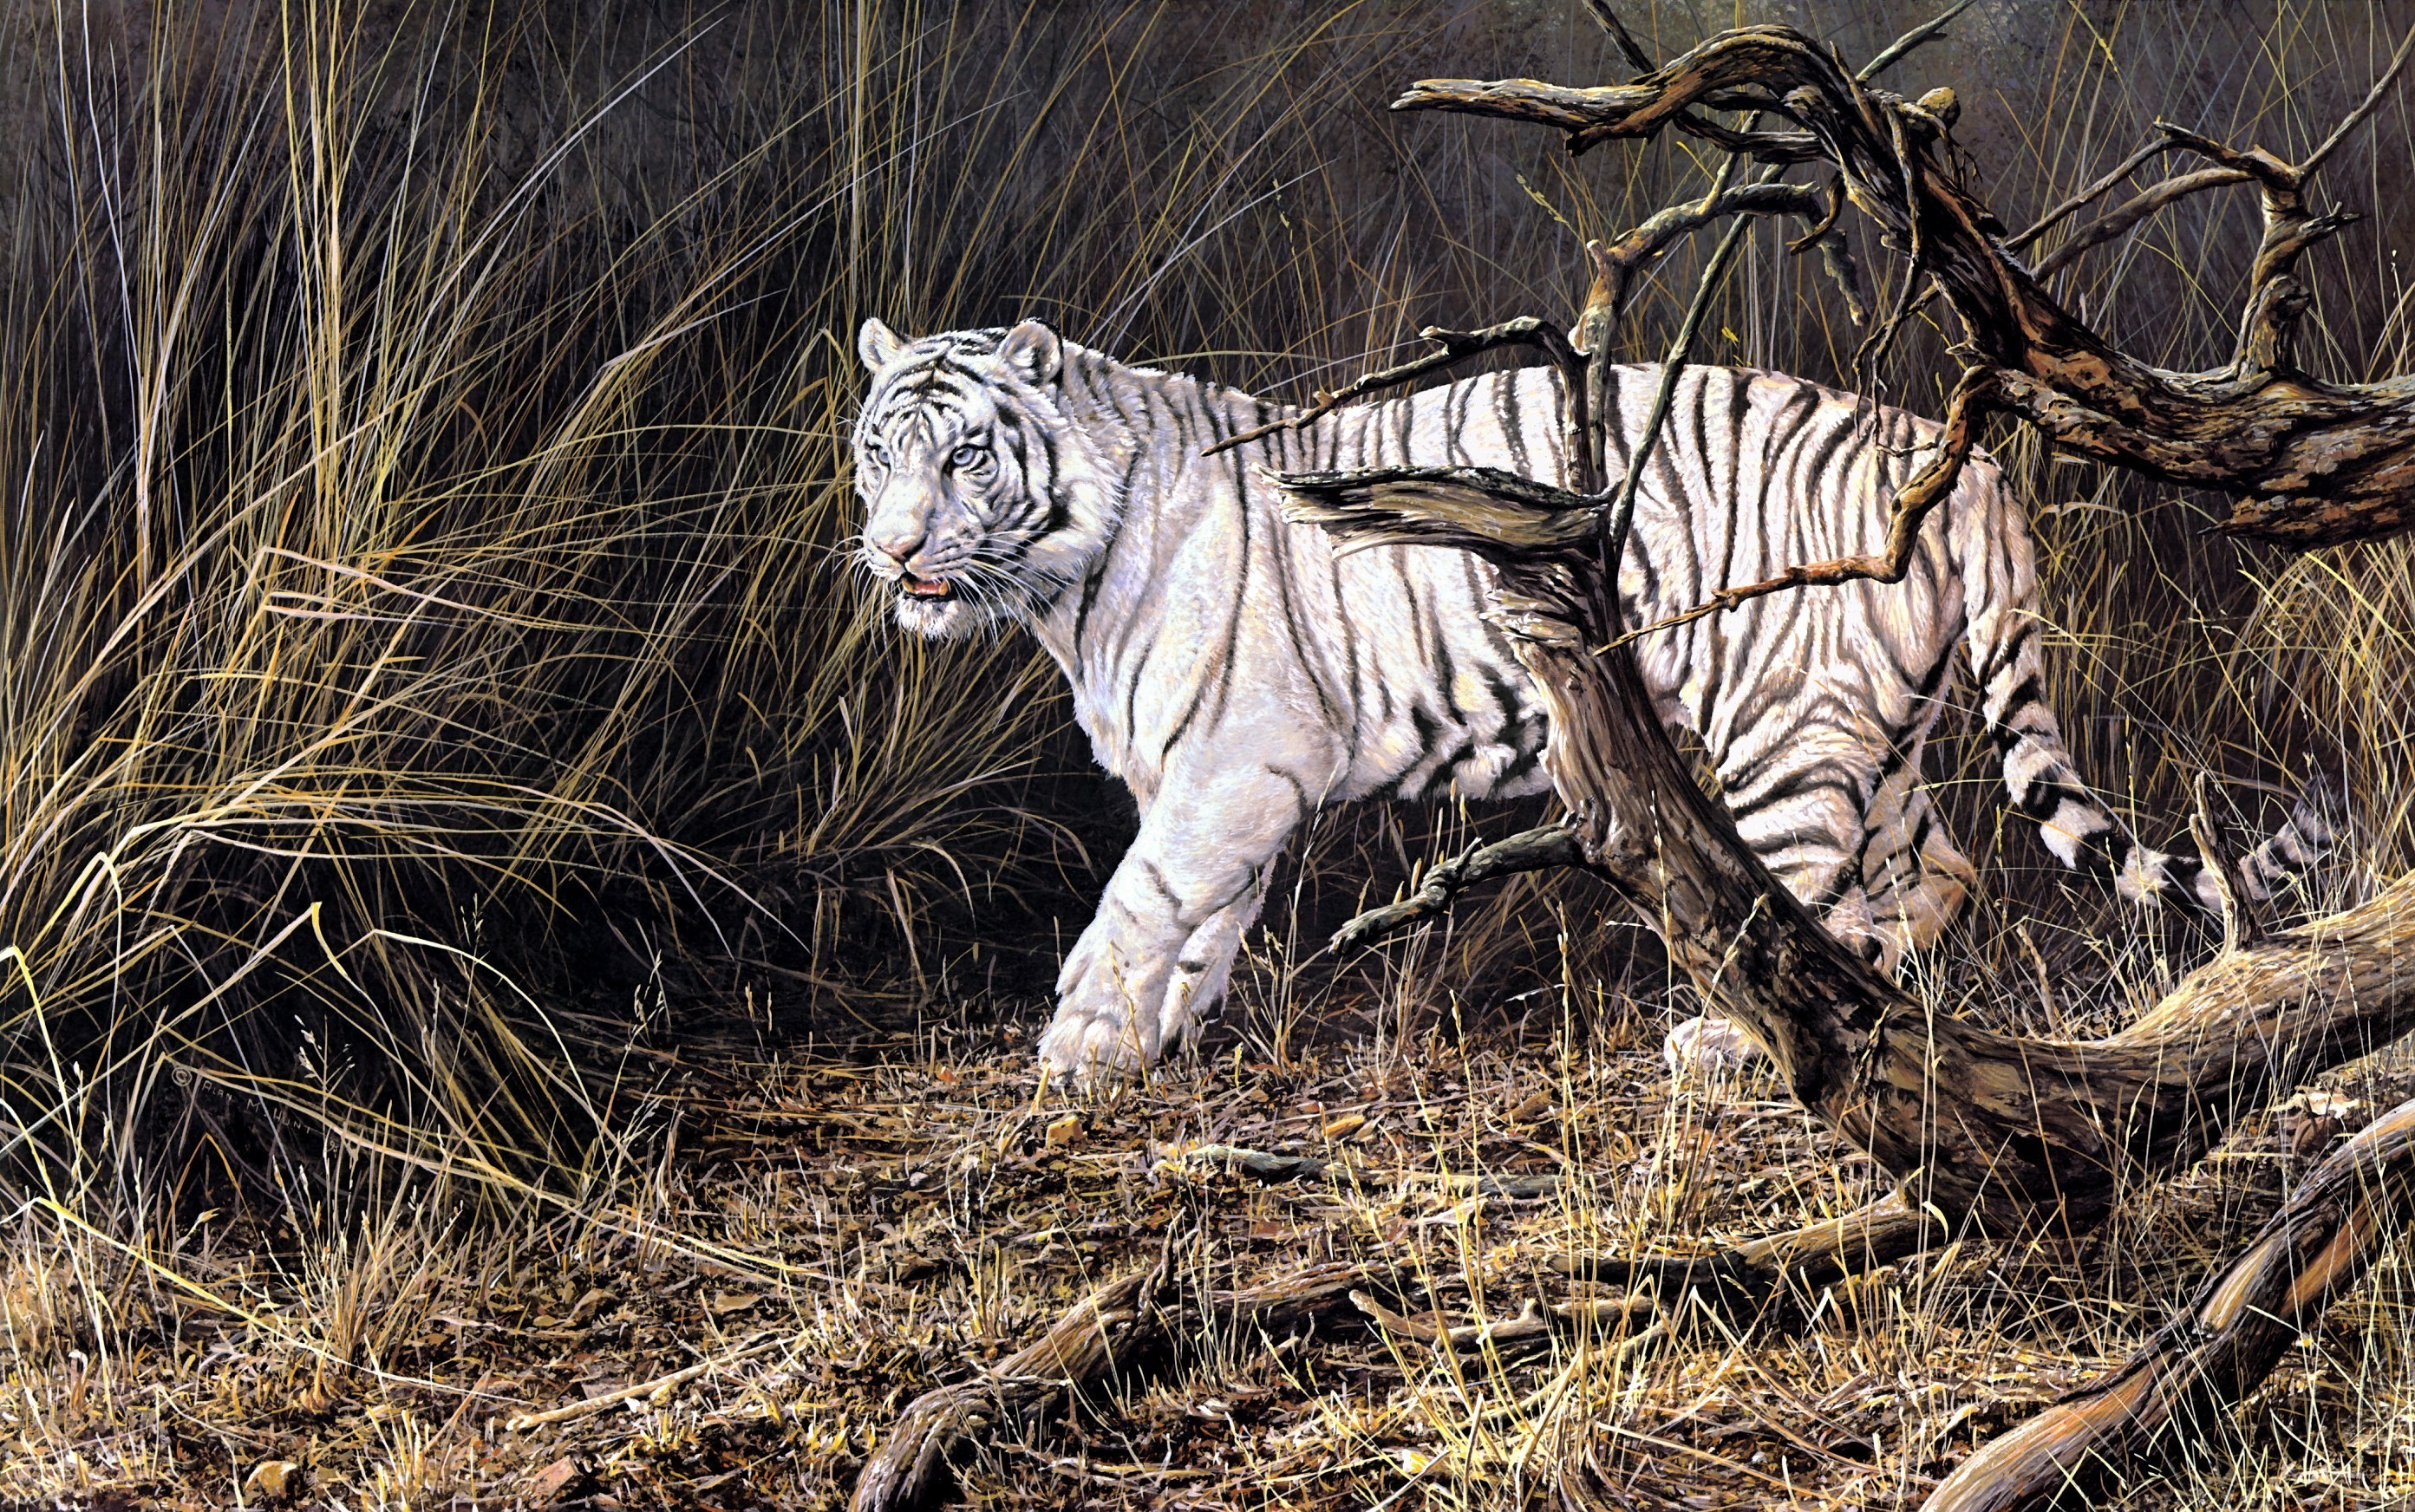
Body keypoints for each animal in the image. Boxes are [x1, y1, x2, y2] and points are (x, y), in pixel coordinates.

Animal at [848, 317, 2328, 1082]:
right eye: (877, 452)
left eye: (967, 454)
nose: (893, 549)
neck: (1059, 586)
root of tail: (1945, 452)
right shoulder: (1208, 783)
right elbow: (1199, 918)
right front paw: (1156, 1042)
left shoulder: (1239, 763)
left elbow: (1139, 903)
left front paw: (1078, 1049)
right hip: (1882, 732)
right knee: (1938, 871)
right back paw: (1867, 999)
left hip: (1787, 727)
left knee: (1812, 892)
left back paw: (1731, 1044)